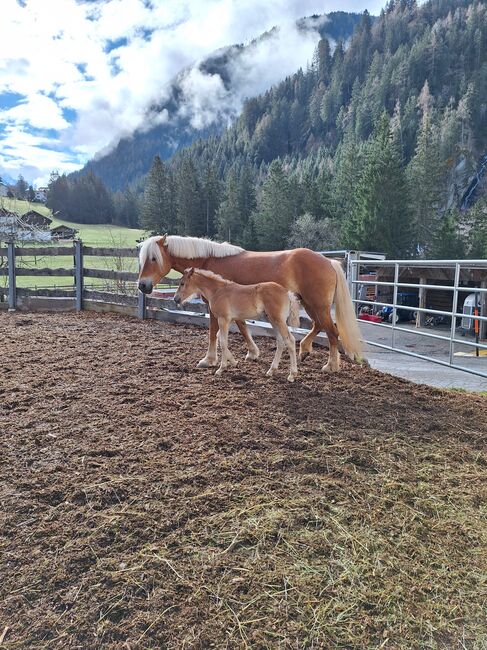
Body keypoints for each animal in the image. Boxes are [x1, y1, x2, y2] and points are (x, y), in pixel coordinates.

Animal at [139, 234, 364, 372]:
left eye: (153, 258)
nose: (142, 286)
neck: (209, 260)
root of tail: (329, 261)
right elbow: (243, 327)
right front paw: (252, 353)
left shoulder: (215, 309)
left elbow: (214, 333)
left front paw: (209, 360)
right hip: (310, 304)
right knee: (320, 326)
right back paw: (305, 350)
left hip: (318, 305)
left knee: (332, 332)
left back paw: (330, 365)